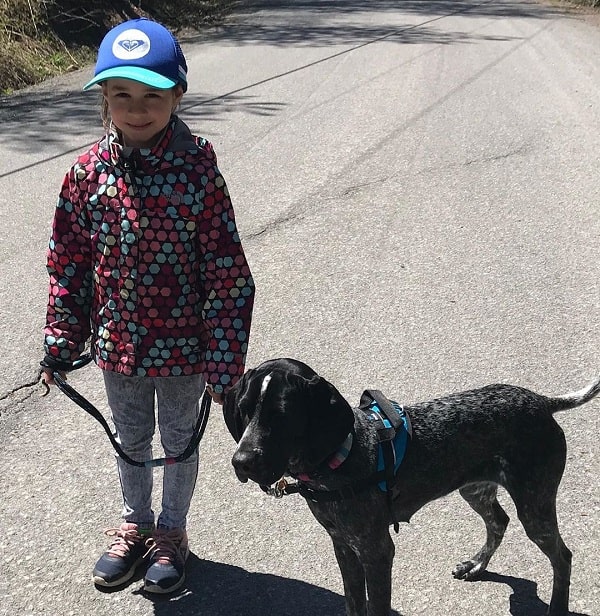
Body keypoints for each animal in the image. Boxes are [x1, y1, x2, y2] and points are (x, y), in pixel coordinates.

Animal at [221, 358, 600, 612]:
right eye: (244, 409)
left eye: (282, 415)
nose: (241, 462)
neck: (341, 455)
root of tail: (542, 402)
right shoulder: (343, 546)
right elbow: (354, 603)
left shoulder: (376, 551)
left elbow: (376, 605)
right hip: (474, 489)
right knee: (498, 521)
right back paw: (476, 565)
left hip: (535, 507)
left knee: (562, 556)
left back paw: (557, 607)